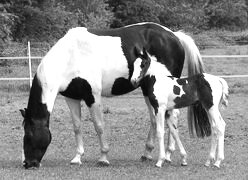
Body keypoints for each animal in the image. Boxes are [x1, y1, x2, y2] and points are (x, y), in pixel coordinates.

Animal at [19, 22, 205, 169]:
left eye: (29, 135)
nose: (28, 163)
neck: (70, 57)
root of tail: (174, 36)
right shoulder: (71, 98)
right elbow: (77, 127)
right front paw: (77, 157)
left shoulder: (93, 96)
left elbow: (99, 126)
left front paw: (103, 157)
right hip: (149, 91)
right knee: (156, 119)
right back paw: (149, 153)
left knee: (173, 116)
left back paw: (167, 155)